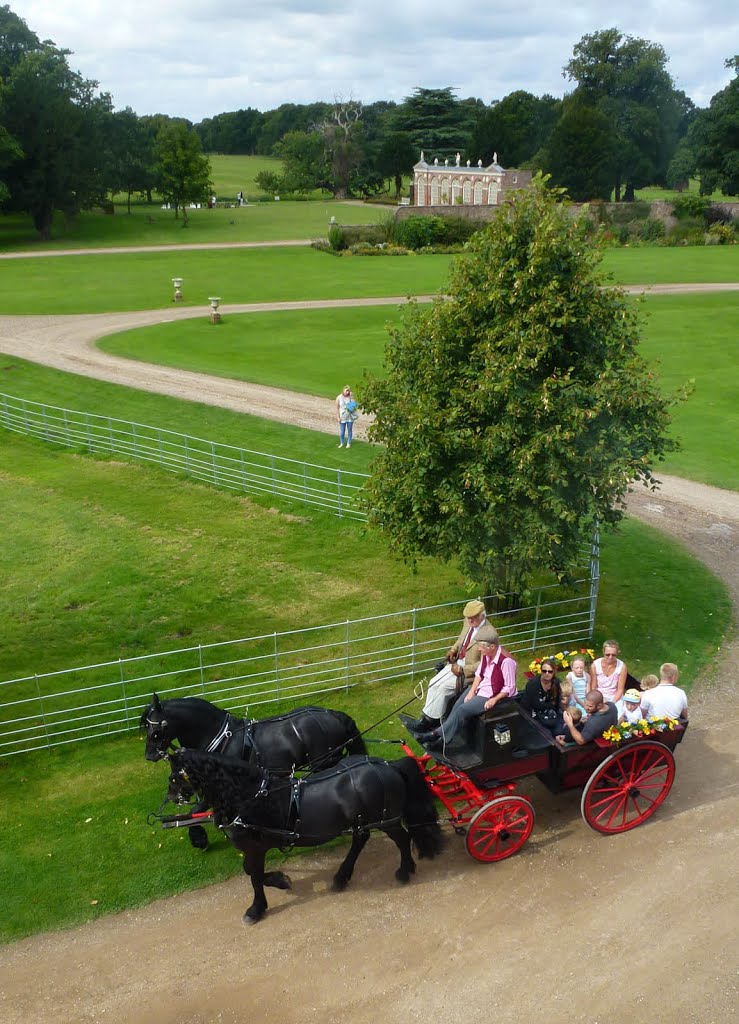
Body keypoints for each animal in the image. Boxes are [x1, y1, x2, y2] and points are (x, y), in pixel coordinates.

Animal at [140, 696, 366, 847]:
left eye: (156, 730)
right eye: (146, 728)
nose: (149, 755)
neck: (220, 737)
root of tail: (334, 715)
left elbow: (195, 811)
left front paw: (199, 838)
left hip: (325, 764)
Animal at [168, 749, 440, 925]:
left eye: (174, 777)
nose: (171, 797)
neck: (251, 797)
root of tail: (388, 765)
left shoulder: (255, 848)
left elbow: (254, 876)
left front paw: (256, 908)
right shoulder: (254, 849)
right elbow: (250, 872)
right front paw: (280, 880)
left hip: (387, 820)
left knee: (403, 839)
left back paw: (404, 871)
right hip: (362, 820)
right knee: (360, 840)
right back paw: (341, 877)